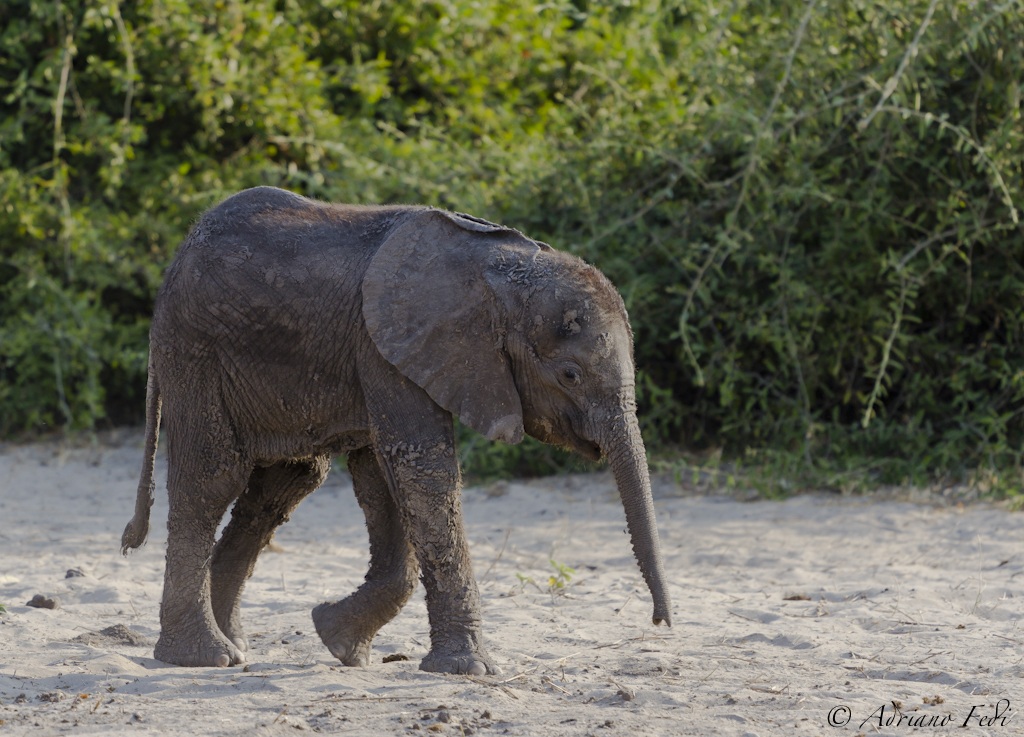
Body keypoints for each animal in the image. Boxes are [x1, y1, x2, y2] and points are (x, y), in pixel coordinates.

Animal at [121, 186, 671, 675]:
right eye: (570, 375)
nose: (661, 623)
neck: (501, 272)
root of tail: (178, 255)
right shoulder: (388, 348)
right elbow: (421, 469)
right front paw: (467, 670)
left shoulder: (391, 351)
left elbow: (386, 475)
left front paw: (339, 641)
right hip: (194, 351)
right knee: (212, 478)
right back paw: (204, 657)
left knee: (288, 482)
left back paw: (236, 644)